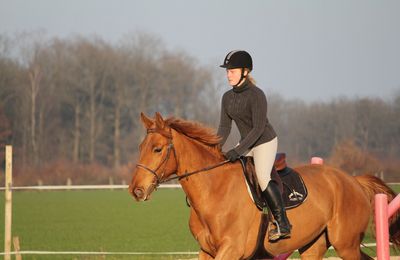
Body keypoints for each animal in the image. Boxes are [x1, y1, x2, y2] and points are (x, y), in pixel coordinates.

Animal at [130, 113, 398, 260]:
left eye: (157, 149)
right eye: (140, 147)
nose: (136, 190)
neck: (213, 191)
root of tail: (352, 181)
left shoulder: (232, 249)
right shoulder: (206, 251)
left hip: (346, 244)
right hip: (314, 245)